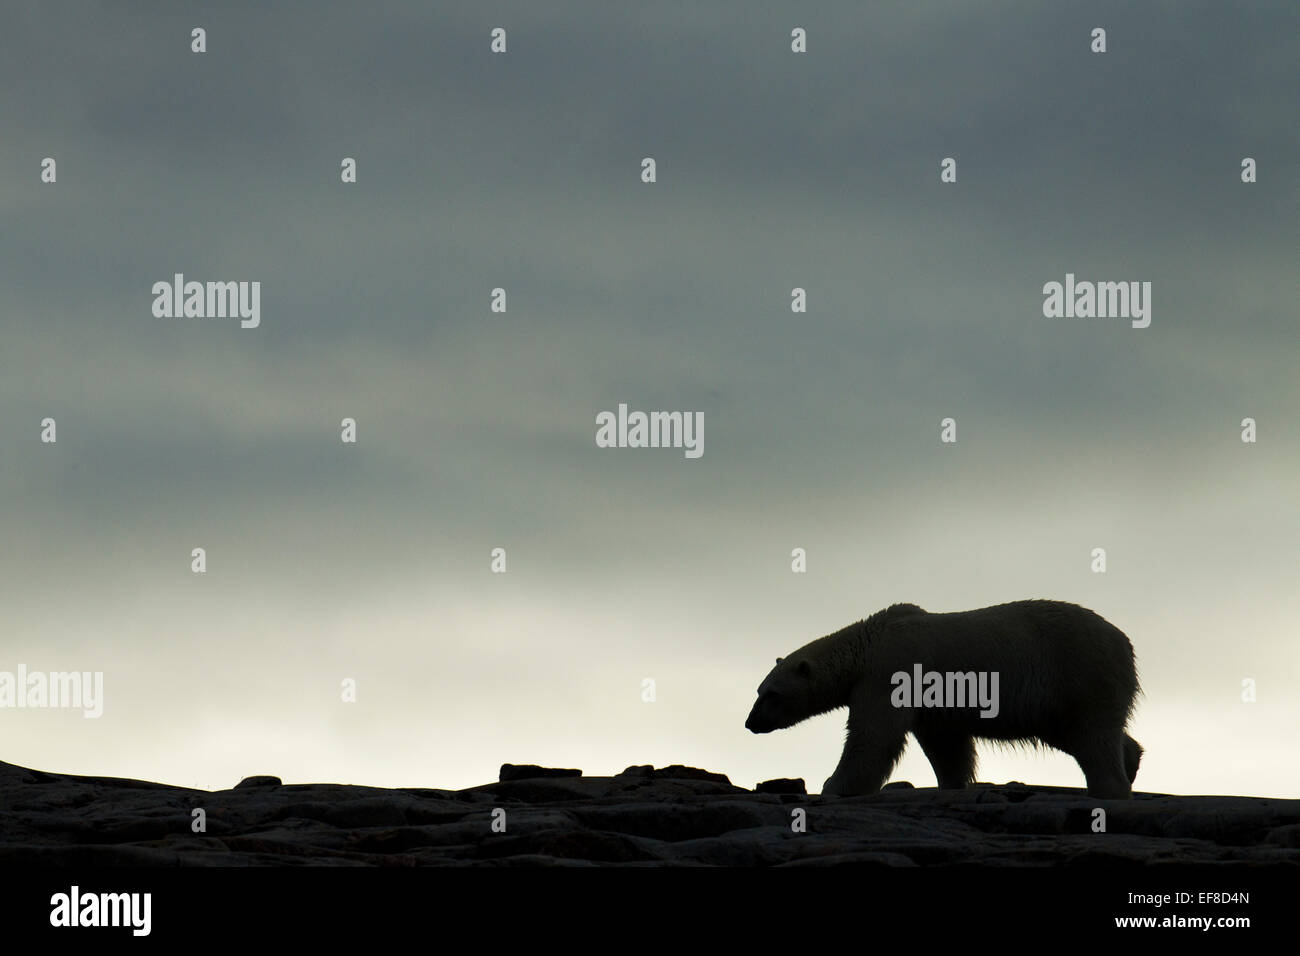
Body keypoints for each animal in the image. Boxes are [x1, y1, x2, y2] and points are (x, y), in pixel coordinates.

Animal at [748, 606, 1144, 801]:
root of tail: (1126, 644)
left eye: (771, 694)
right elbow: (945, 743)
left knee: (1092, 735)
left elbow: (873, 736)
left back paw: (1109, 788)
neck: (866, 644)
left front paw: (834, 785)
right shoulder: (931, 699)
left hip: (1080, 672)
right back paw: (1132, 761)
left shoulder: (888, 673)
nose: (751, 723)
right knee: (1081, 734)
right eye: (758, 691)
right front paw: (953, 783)